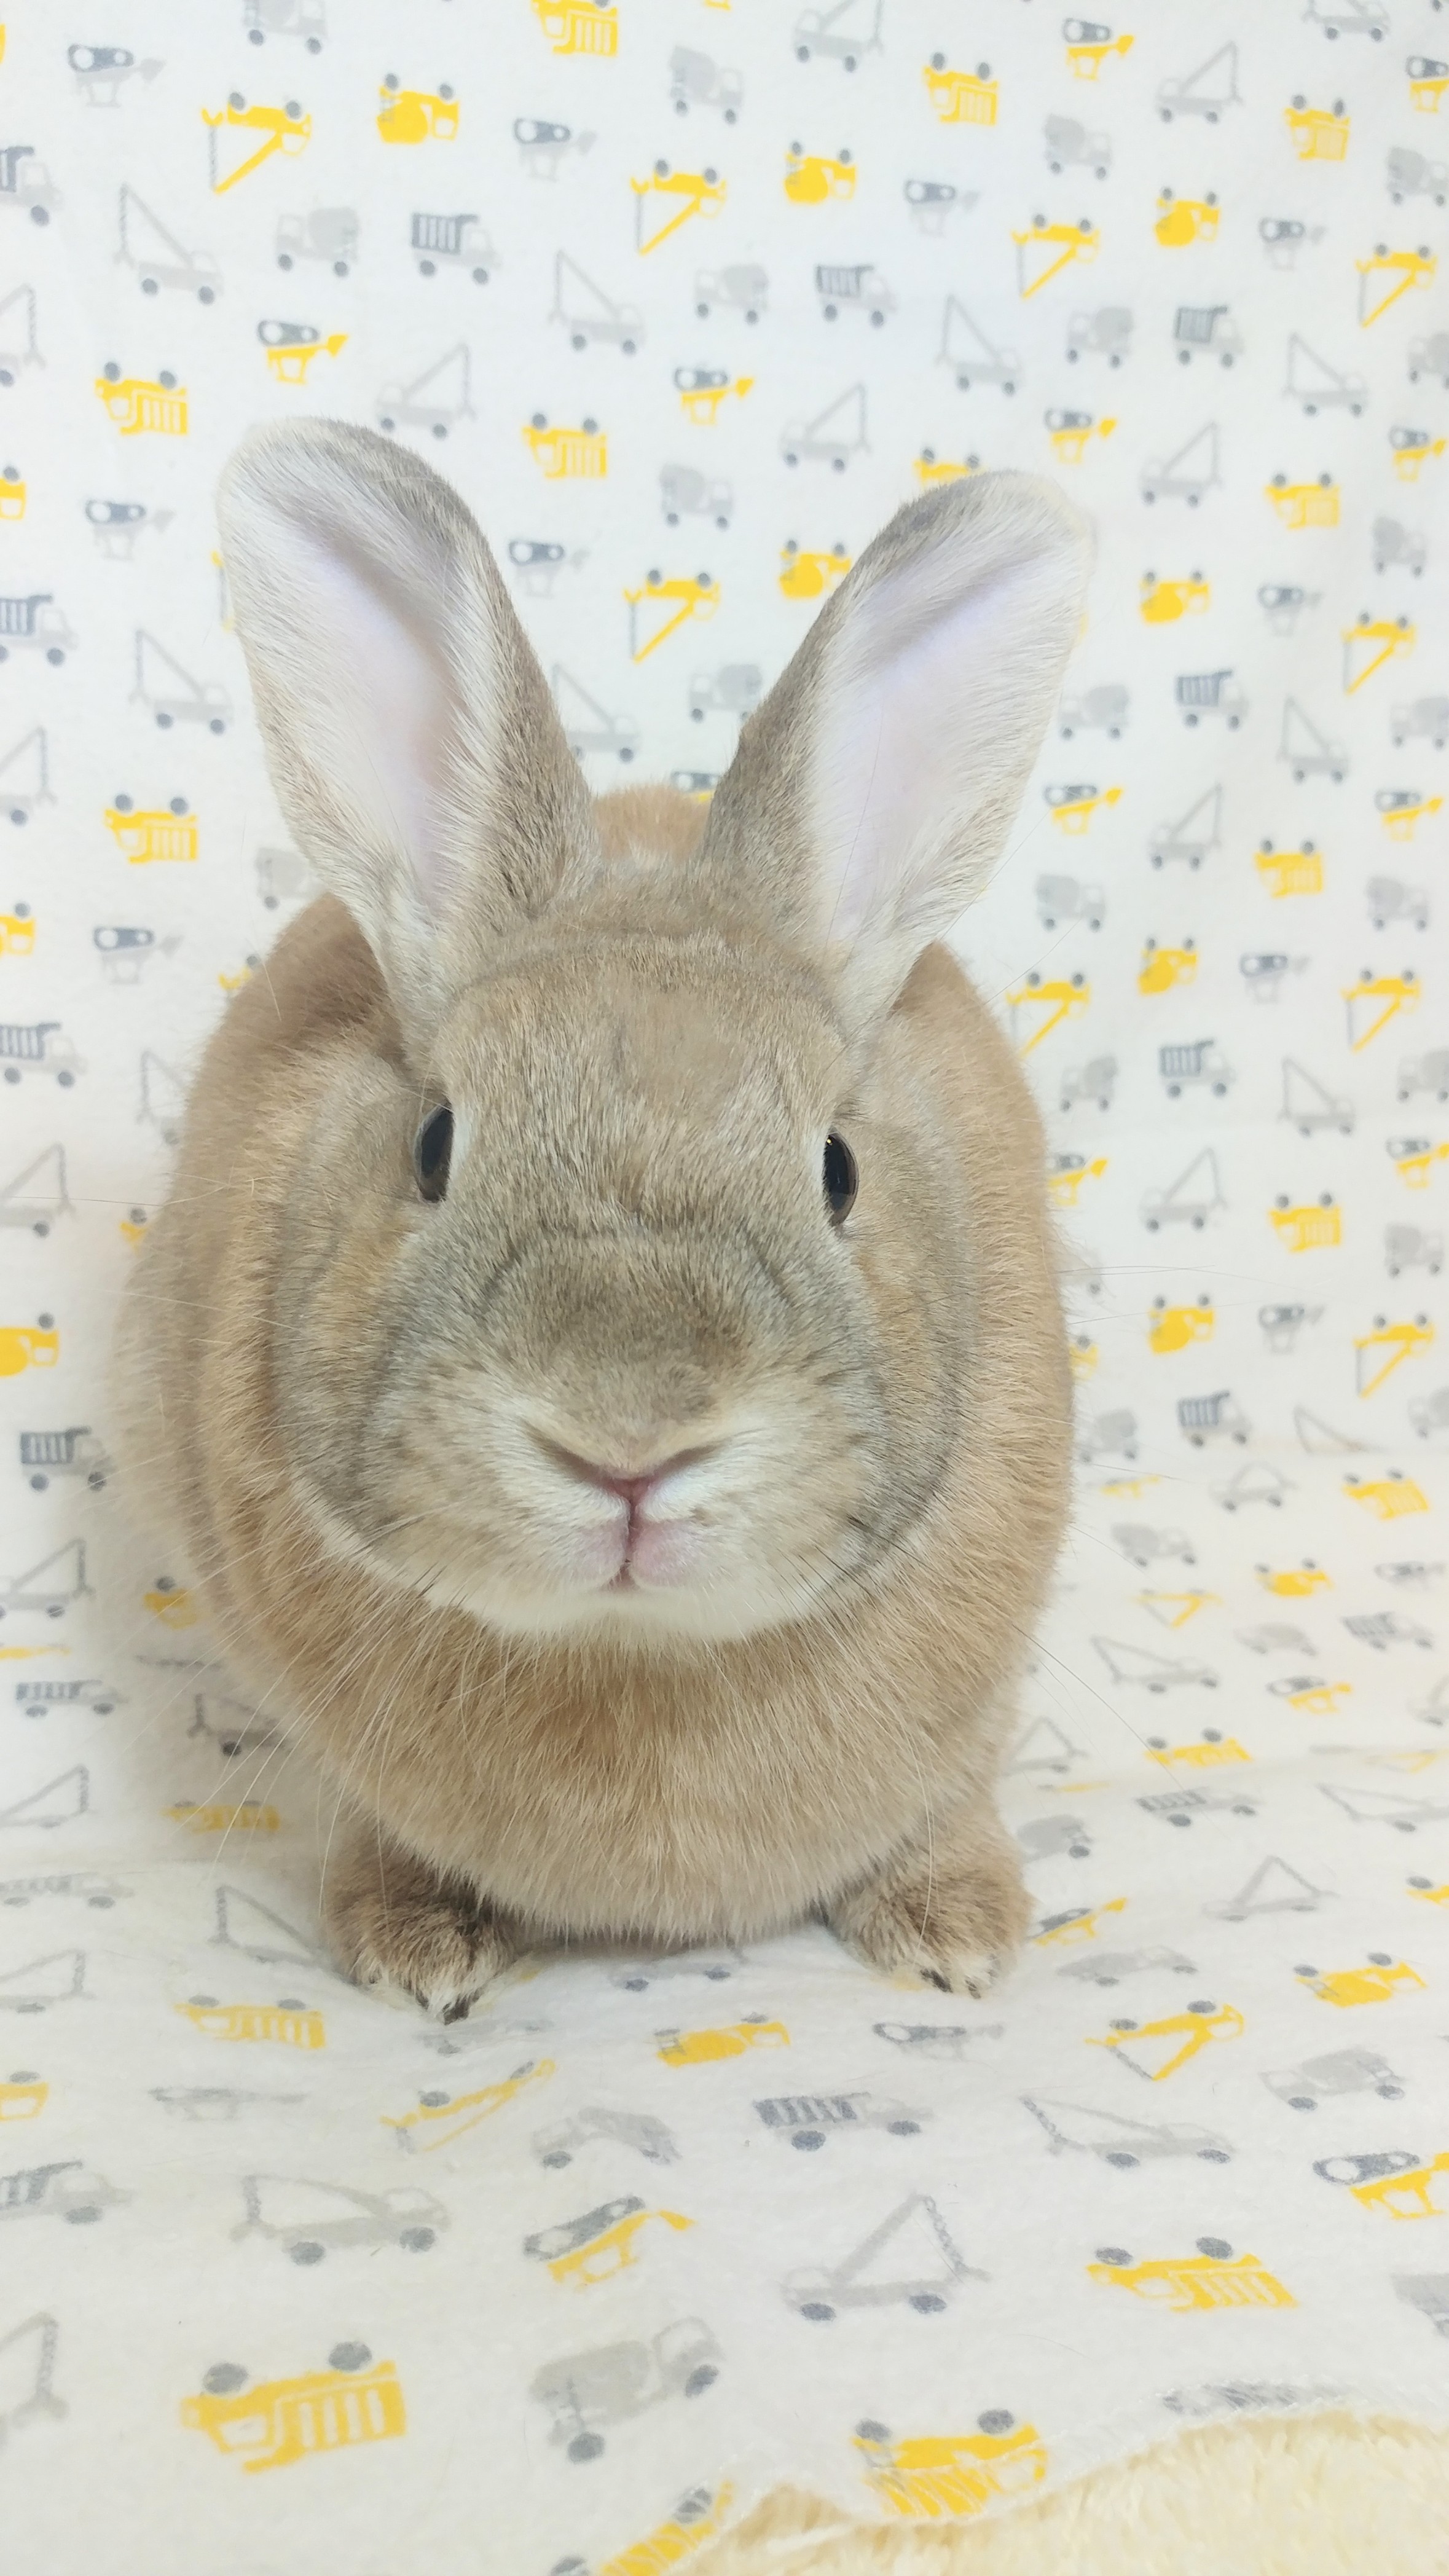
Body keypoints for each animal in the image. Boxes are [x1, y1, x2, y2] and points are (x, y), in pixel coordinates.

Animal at [115, 418, 1090, 2019]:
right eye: (435, 1143)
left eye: (837, 1169)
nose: (629, 1443)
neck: (632, 1649)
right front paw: (415, 1951)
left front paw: (958, 1934)